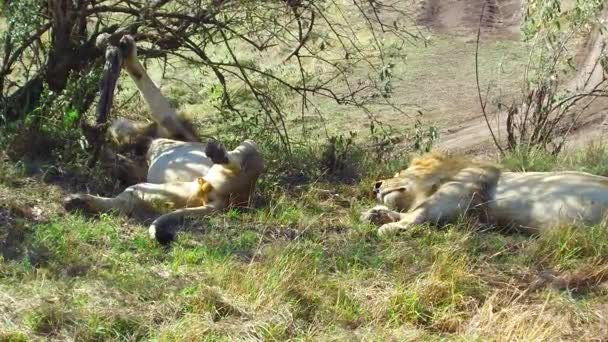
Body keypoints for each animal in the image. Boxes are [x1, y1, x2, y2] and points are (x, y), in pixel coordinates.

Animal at [63, 35, 264, 243]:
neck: (145, 143)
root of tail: (228, 201)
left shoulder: (171, 123)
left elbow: (144, 82)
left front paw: (126, 47)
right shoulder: (139, 163)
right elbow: (111, 156)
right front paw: (90, 138)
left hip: (248, 147)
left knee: (237, 160)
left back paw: (218, 152)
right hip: (175, 190)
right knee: (128, 200)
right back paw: (79, 201)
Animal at [360, 152, 608, 235]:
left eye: (399, 172)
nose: (376, 184)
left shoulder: (458, 192)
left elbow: (417, 214)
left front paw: (391, 227)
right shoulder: (466, 215)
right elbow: (411, 212)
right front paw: (376, 213)